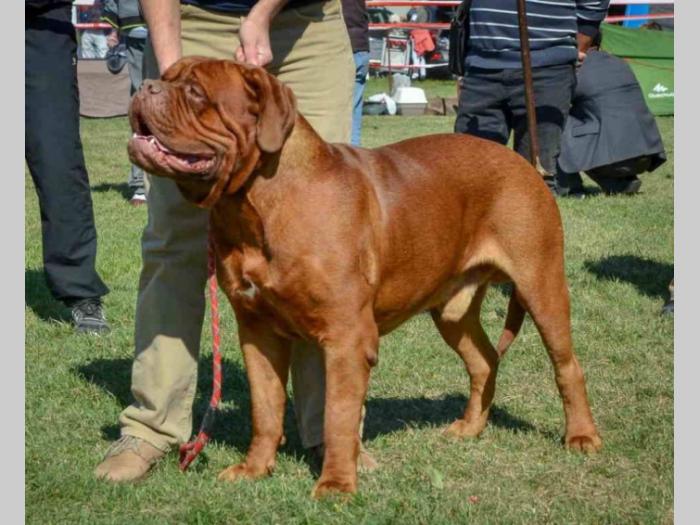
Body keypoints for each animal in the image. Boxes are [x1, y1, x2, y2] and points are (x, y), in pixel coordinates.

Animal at [126, 56, 600, 496]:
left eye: (195, 92)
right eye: (166, 77)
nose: (145, 86)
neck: (255, 205)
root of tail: (527, 162)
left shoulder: (346, 337)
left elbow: (337, 416)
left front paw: (336, 484)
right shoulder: (258, 332)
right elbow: (266, 408)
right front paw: (254, 469)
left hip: (541, 284)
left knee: (567, 365)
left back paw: (581, 436)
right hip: (452, 310)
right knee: (484, 360)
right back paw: (469, 428)